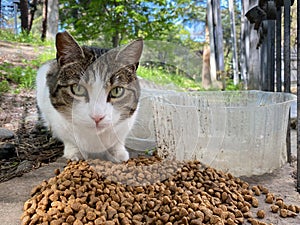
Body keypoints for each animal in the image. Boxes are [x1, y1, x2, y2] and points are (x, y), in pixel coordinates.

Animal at [35, 31, 142, 162]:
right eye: (78, 89)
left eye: (117, 91)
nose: (97, 117)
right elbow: (68, 137)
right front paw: (75, 152)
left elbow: (118, 139)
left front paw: (118, 152)